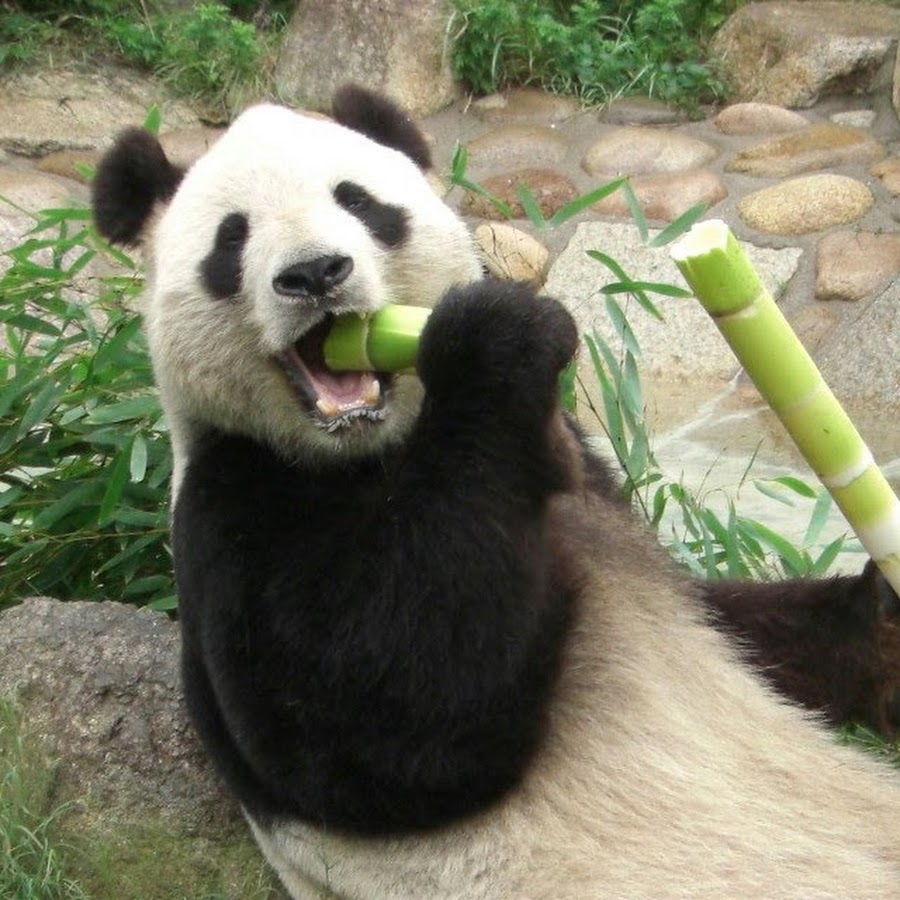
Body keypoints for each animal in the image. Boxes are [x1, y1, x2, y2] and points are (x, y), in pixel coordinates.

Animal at [92, 85, 900, 899]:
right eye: (231, 240)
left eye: (359, 202)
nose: (314, 273)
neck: (374, 447)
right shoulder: (235, 503)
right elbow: (378, 724)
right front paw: (494, 334)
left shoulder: (585, 478)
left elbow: (737, 629)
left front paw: (881, 615)